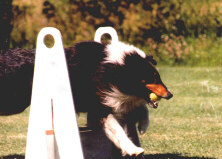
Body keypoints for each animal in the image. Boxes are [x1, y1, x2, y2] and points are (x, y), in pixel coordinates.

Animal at [0, 41, 172, 157]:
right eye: (153, 77)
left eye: (158, 76)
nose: (170, 94)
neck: (109, 68)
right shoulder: (98, 107)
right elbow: (117, 128)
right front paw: (133, 149)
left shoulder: (104, 100)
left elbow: (139, 107)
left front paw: (143, 124)